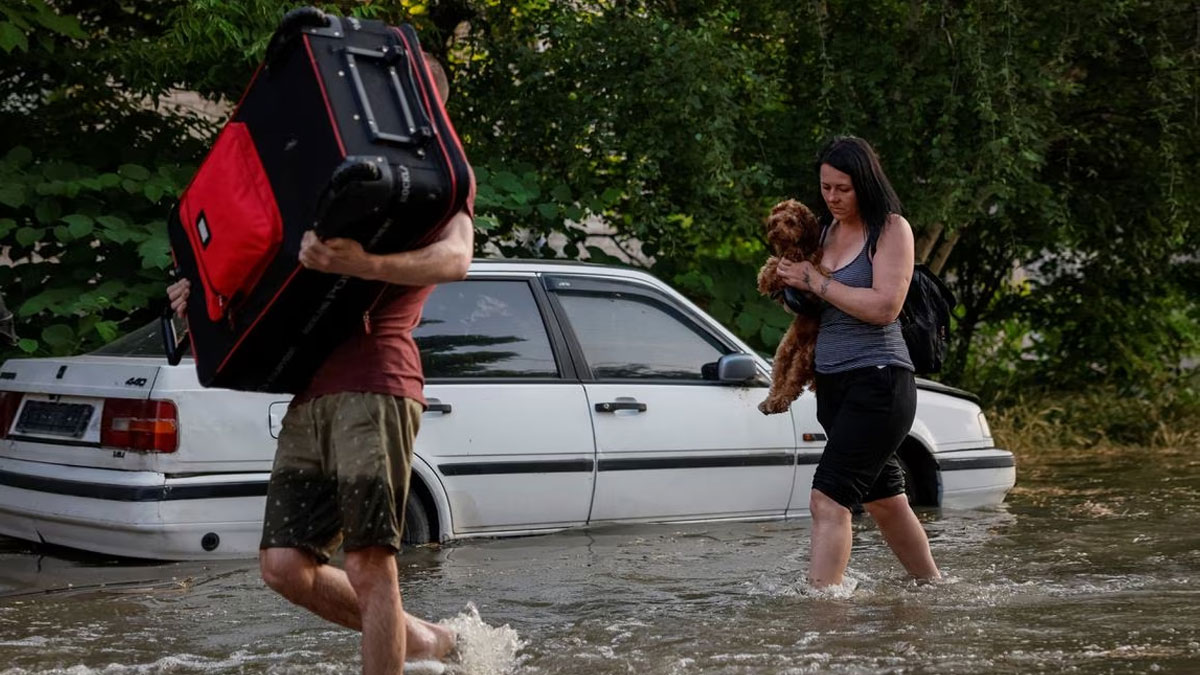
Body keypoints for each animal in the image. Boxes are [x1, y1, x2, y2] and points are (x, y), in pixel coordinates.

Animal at [753, 196, 830, 413]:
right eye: (775, 221)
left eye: (790, 222)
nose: (774, 230)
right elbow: (772, 265)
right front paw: (768, 276)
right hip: (784, 350)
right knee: (779, 379)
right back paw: (770, 402)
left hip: (805, 356)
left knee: (793, 385)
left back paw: (778, 402)